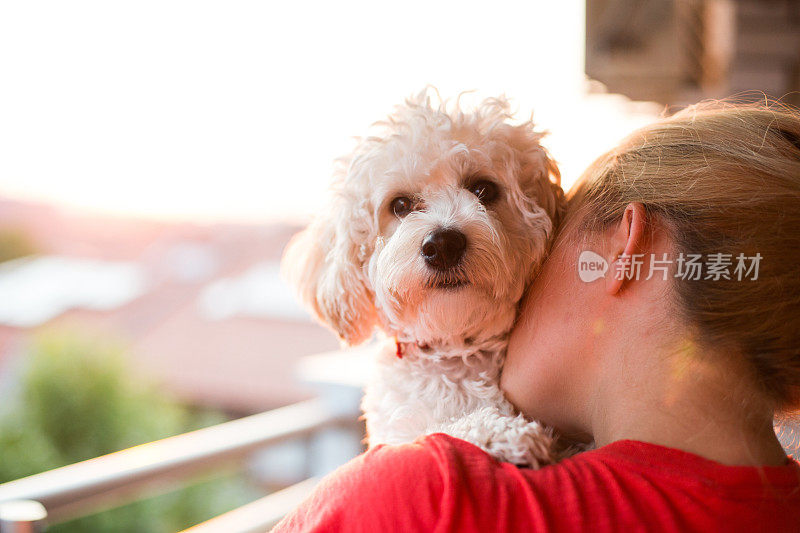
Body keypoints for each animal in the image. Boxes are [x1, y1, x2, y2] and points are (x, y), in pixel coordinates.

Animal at [282, 88, 568, 466]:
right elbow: (439, 430)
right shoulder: (398, 434)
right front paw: (500, 432)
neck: (454, 351)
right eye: (400, 205)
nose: (443, 245)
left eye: (483, 189)